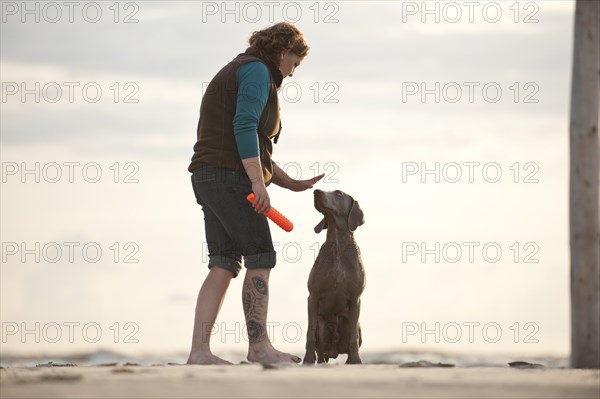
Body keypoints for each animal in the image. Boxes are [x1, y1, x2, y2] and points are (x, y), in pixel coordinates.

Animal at [302, 191, 364, 366]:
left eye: (338, 194)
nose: (316, 191)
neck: (337, 245)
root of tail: (333, 351)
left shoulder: (356, 299)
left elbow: (353, 337)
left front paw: (356, 360)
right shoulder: (312, 297)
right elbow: (310, 333)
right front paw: (307, 359)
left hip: (356, 325)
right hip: (321, 324)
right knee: (320, 348)